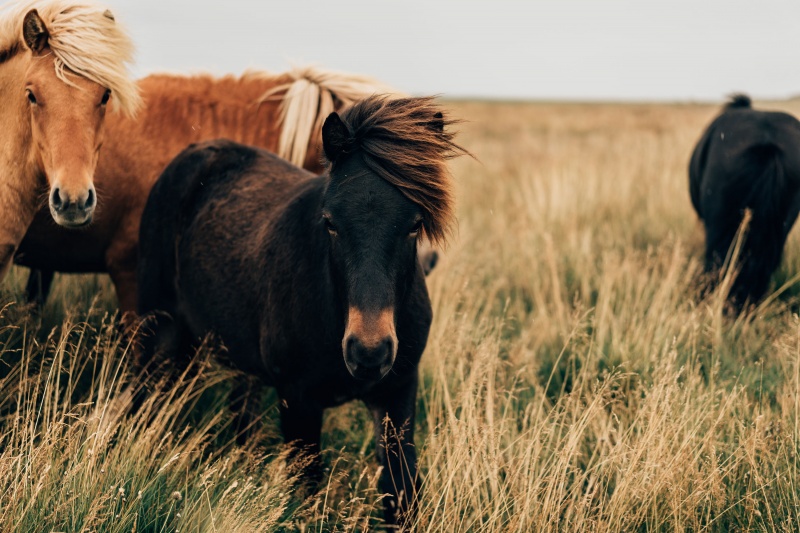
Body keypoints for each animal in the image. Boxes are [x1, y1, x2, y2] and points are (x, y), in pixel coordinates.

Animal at [136, 94, 462, 524]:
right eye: (330, 222)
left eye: (414, 224)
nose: (369, 352)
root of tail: (193, 154)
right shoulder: (298, 404)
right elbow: (305, 495)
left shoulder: (397, 394)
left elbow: (400, 489)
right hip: (158, 328)